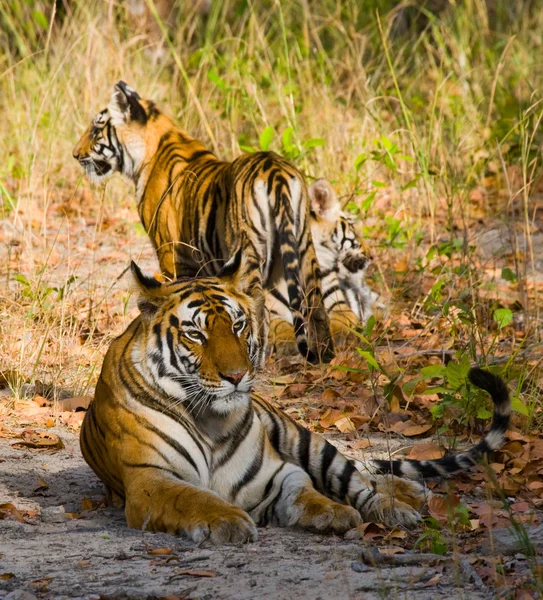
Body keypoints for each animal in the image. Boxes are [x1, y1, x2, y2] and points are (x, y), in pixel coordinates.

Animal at [72, 82, 336, 366]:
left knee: (258, 311)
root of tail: (274, 169)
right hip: (304, 248)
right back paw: (327, 356)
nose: (75, 155)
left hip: (249, 252)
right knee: (317, 307)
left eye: (96, 129)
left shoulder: (170, 253)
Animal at [78, 248, 512, 544]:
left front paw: (335, 512)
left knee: (358, 477)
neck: (210, 422)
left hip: (305, 439)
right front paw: (228, 521)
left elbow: (308, 491)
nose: (237, 376)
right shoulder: (150, 480)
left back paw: (400, 504)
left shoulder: (276, 472)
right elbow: (194, 498)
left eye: (237, 326)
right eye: (196, 334)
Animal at [268, 178, 382, 352]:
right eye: (353, 228)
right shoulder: (271, 311)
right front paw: (288, 343)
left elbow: (341, 320)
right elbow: (279, 326)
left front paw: (339, 336)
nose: (371, 256)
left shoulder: (337, 303)